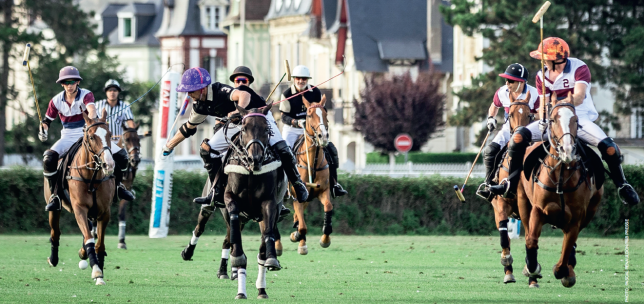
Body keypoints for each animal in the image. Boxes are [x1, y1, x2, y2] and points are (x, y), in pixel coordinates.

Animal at [45, 110, 115, 286]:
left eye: (110, 134)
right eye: (91, 136)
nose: (109, 165)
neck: (92, 178)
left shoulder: (104, 212)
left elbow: (99, 244)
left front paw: (99, 272)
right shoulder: (79, 209)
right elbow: (90, 239)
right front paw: (96, 270)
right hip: (54, 207)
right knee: (55, 232)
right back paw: (53, 259)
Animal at [225, 104, 288, 300]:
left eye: (266, 129)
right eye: (244, 128)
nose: (256, 159)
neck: (251, 171)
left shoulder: (269, 203)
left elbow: (267, 234)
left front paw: (272, 259)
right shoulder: (229, 196)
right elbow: (234, 216)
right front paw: (237, 256)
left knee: (261, 250)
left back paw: (261, 289)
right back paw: (240, 290)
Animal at [290, 94, 334, 254]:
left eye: (326, 114)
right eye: (309, 115)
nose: (323, 137)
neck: (312, 164)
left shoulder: (323, 191)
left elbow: (328, 207)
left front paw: (325, 239)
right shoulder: (297, 196)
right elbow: (303, 226)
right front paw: (300, 242)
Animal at [520, 92, 604, 288]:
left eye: (576, 120)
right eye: (552, 120)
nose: (567, 151)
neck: (560, 177)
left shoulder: (576, 218)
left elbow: (567, 248)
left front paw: (565, 272)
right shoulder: (538, 210)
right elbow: (531, 241)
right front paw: (532, 268)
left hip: (591, 210)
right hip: (522, 202)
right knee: (527, 232)